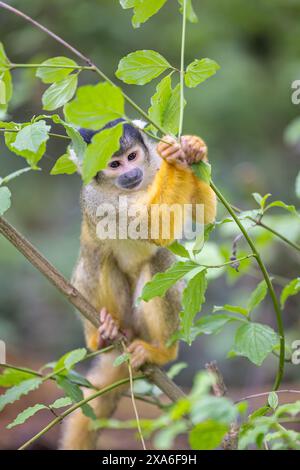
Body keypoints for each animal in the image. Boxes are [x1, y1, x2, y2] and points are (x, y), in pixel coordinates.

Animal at [60, 119, 216, 450]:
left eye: (132, 157)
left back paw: (160, 351)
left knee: (159, 261)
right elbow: (152, 227)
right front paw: (174, 158)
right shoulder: (95, 198)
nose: (130, 174)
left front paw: (191, 150)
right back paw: (104, 335)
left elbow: (203, 216)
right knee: (97, 255)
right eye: (114, 164)